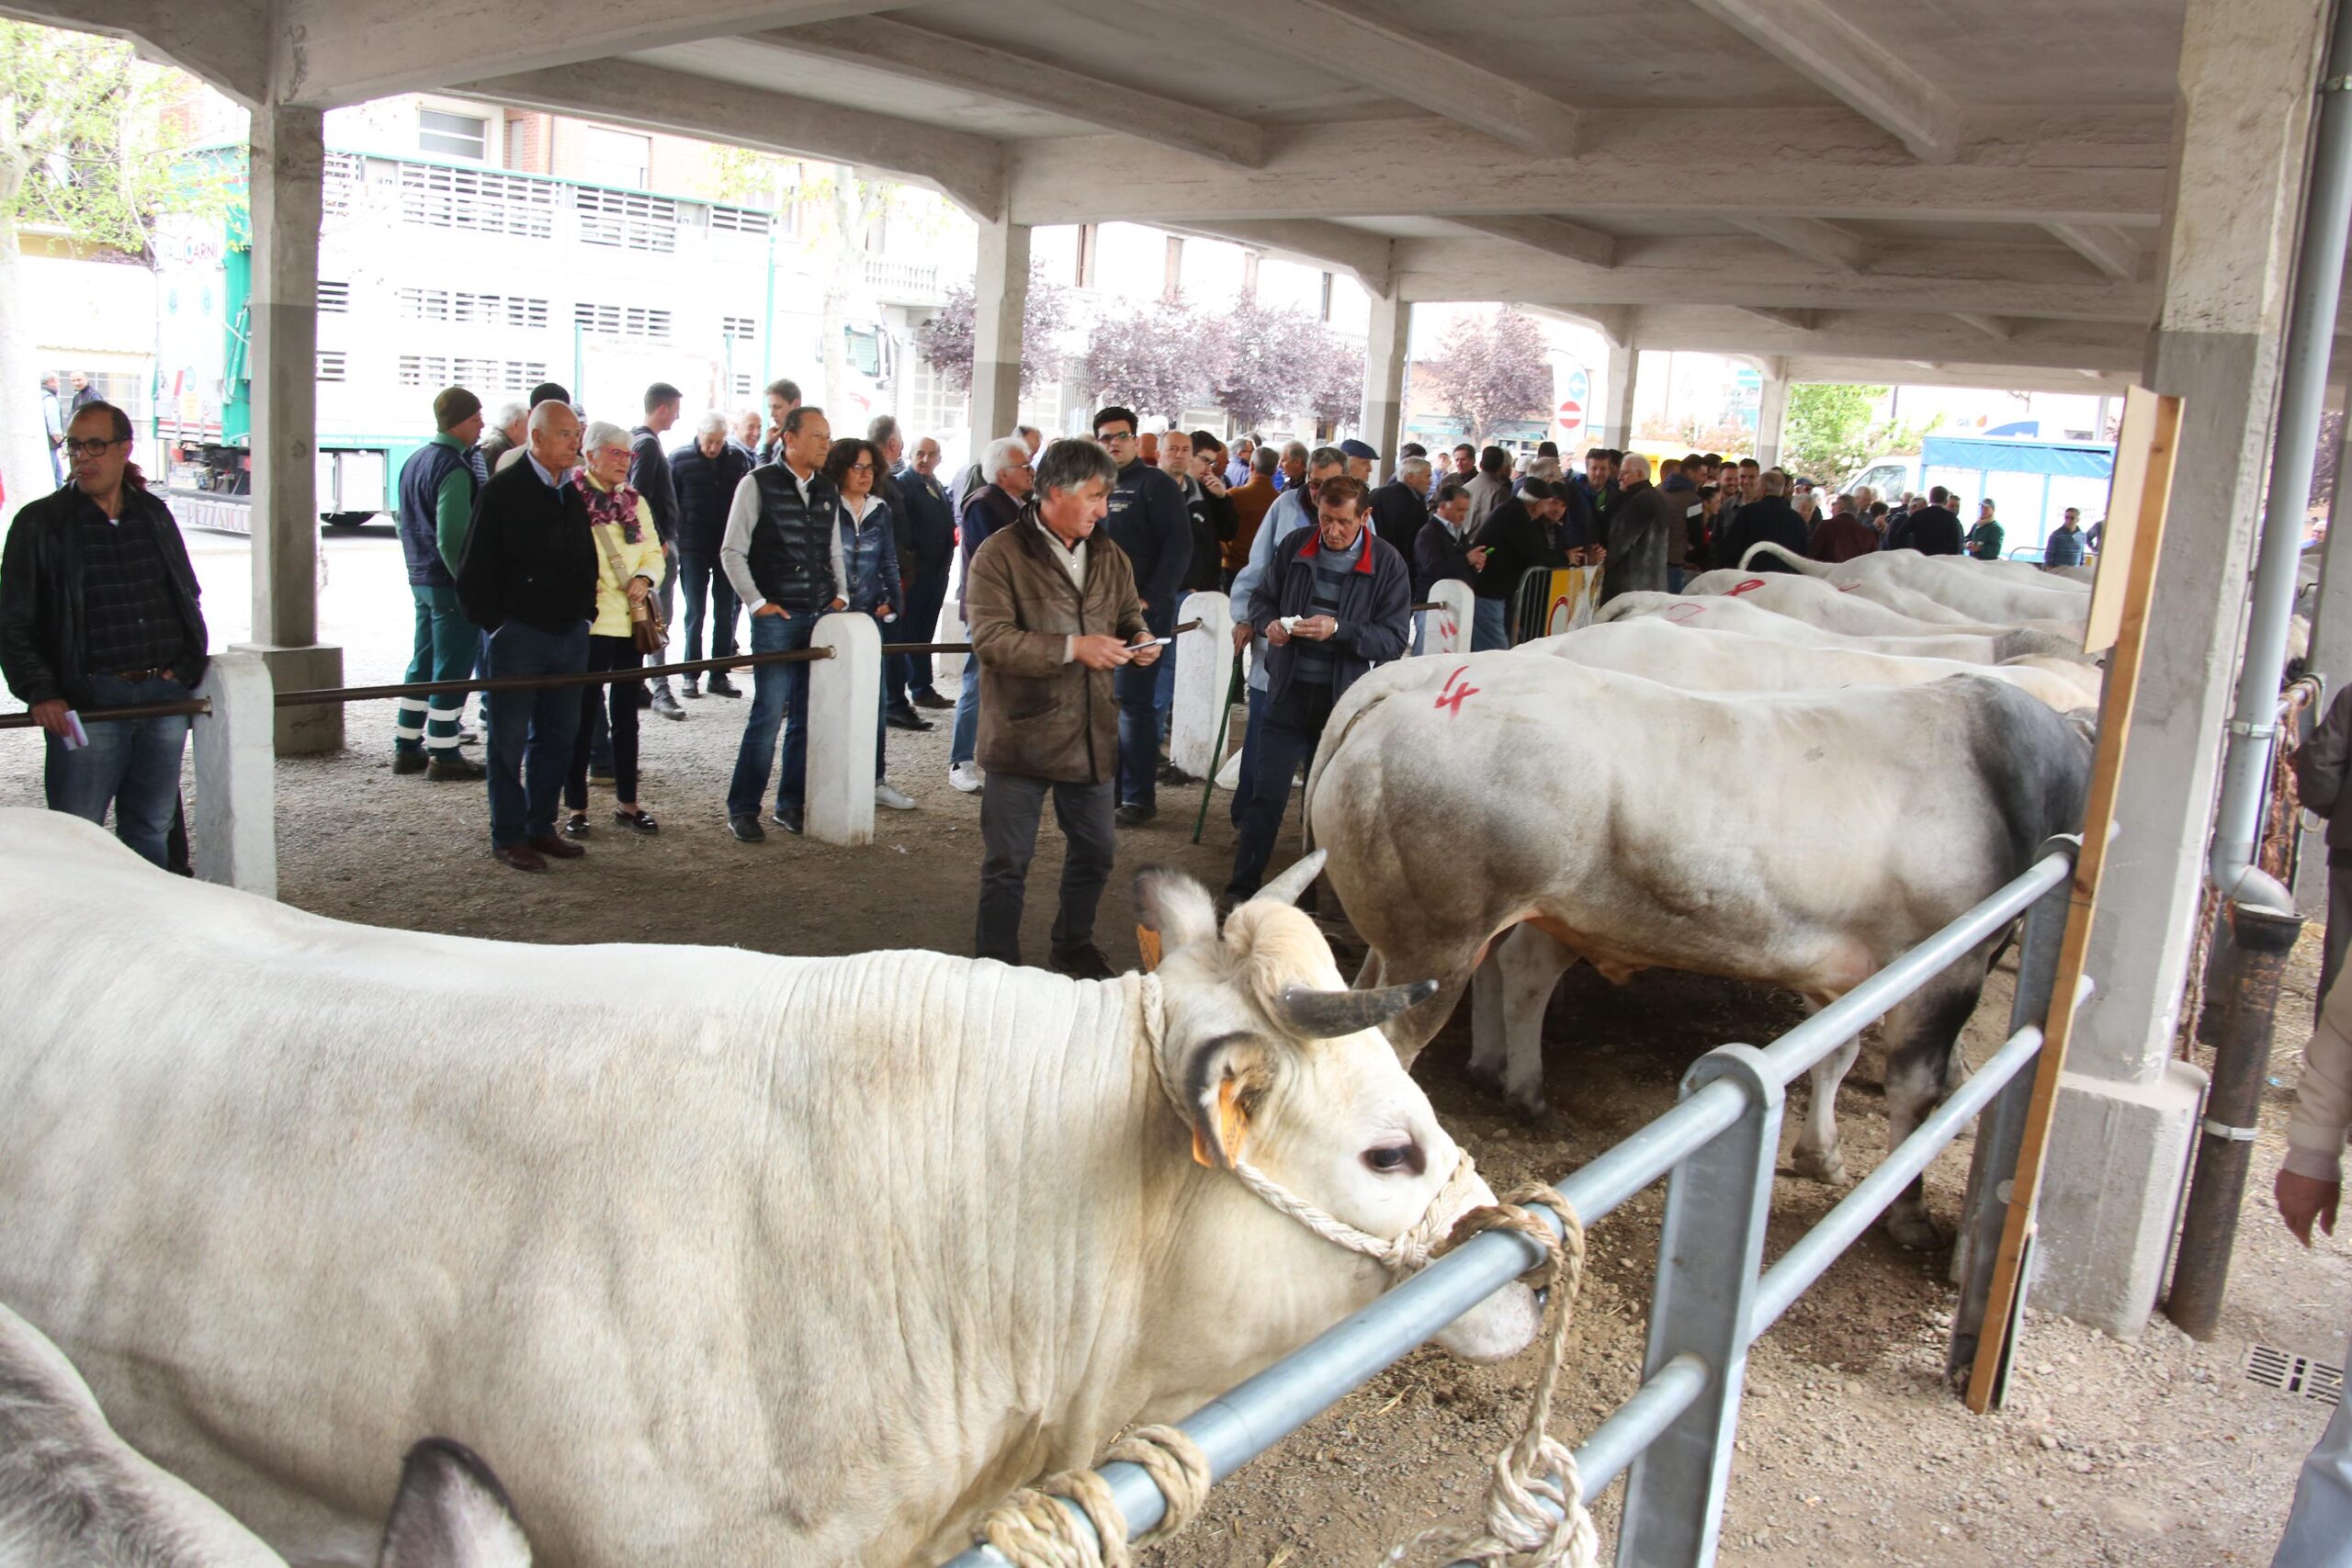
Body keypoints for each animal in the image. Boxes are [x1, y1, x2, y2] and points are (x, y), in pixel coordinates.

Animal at [1307, 653, 2098, 1250]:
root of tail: (1410, 685)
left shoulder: (1846, 972)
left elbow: (1835, 1052)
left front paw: (1823, 1153)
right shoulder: (1944, 965)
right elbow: (1918, 1088)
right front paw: (1907, 1211)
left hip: (1407, 942)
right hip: (1440, 940)